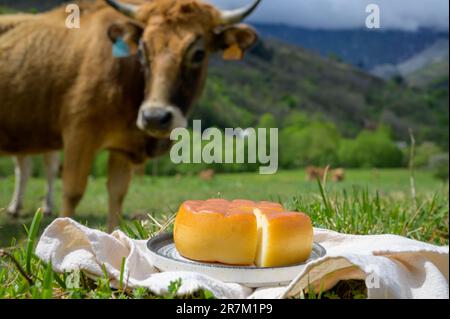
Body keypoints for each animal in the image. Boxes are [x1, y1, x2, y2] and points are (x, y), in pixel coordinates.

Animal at [0, 0, 262, 230]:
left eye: (198, 54)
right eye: (143, 51)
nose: (155, 117)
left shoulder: (122, 148)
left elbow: (117, 194)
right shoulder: (79, 133)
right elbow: (73, 190)